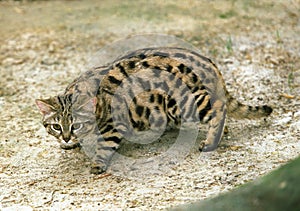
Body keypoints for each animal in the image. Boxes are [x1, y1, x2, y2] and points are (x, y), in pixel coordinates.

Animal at [35, 47, 272, 174]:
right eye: (56, 127)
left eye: (76, 125)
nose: (66, 137)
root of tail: (210, 65)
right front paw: (73, 144)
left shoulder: (113, 124)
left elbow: (105, 146)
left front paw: (97, 163)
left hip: (183, 104)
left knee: (219, 109)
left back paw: (210, 142)